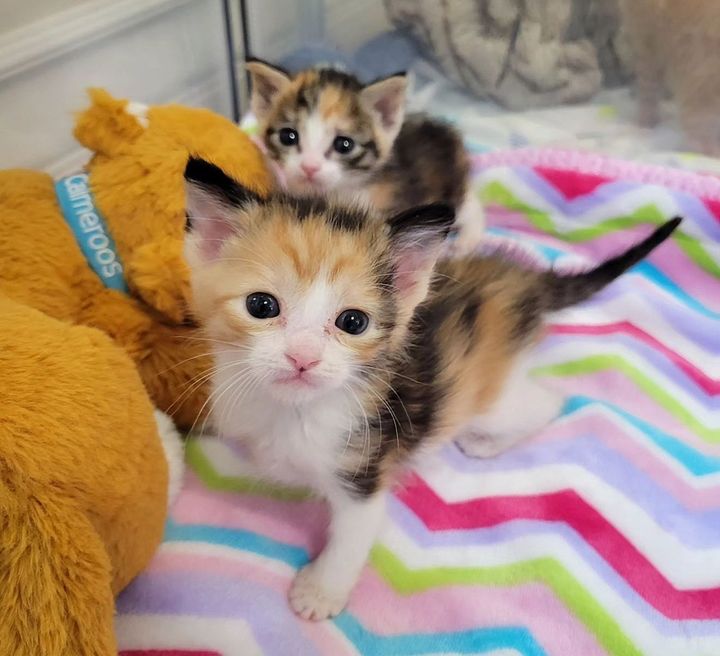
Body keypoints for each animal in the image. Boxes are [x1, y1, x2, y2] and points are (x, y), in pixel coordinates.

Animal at [184, 156, 680, 624]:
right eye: (261, 306)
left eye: (353, 322)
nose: (302, 357)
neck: (293, 410)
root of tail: (523, 281)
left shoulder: (366, 469)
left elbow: (351, 537)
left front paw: (320, 593)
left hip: (490, 397)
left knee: (547, 402)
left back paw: (485, 442)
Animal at [245, 59, 486, 254]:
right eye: (288, 136)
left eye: (344, 144)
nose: (309, 167)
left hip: (453, 185)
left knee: (471, 205)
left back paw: (469, 238)